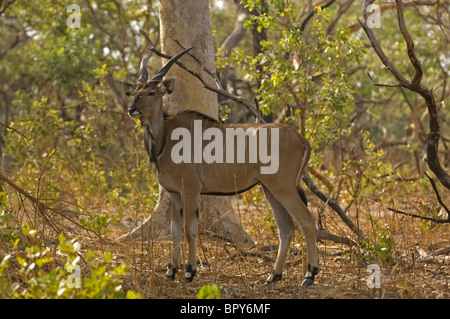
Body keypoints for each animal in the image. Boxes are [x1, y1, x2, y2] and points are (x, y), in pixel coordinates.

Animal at [123, 48, 318, 288]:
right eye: (135, 92)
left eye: (151, 92)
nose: (131, 109)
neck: (165, 139)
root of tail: (300, 138)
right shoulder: (175, 193)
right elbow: (175, 231)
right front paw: (170, 270)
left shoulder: (190, 190)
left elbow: (189, 230)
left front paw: (189, 271)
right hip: (269, 189)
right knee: (286, 227)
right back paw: (273, 275)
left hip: (284, 188)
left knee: (307, 221)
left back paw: (309, 275)